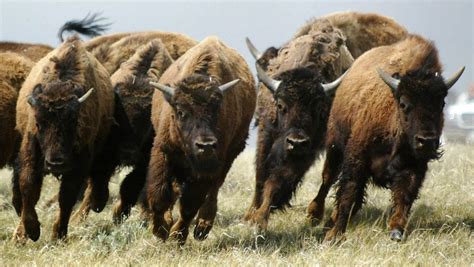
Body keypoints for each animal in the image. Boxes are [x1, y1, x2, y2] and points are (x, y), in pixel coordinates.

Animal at [13, 36, 115, 243]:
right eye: (39, 123)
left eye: (73, 122)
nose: (56, 163)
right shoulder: (30, 152)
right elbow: (28, 187)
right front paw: (32, 231)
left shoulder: (78, 166)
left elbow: (66, 198)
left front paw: (58, 234)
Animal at [147, 36, 256, 246]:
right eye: (180, 112)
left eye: (216, 110)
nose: (205, 145)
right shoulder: (163, 152)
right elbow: (159, 196)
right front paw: (161, 230)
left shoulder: (208, 166)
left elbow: (190, 205)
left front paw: (176, 236)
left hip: (228, 157)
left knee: (213, 191)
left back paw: (202, 227)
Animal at [306, 34, 464, 243]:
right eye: (404, 103)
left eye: (442, 103)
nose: (427, 141)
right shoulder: (356, 159)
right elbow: (348, 193)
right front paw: (334, 235)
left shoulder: (414, 167)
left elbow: (403, 197)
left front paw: (396, 231)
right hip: (335, 146)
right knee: (328, 179)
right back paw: (315, 216)